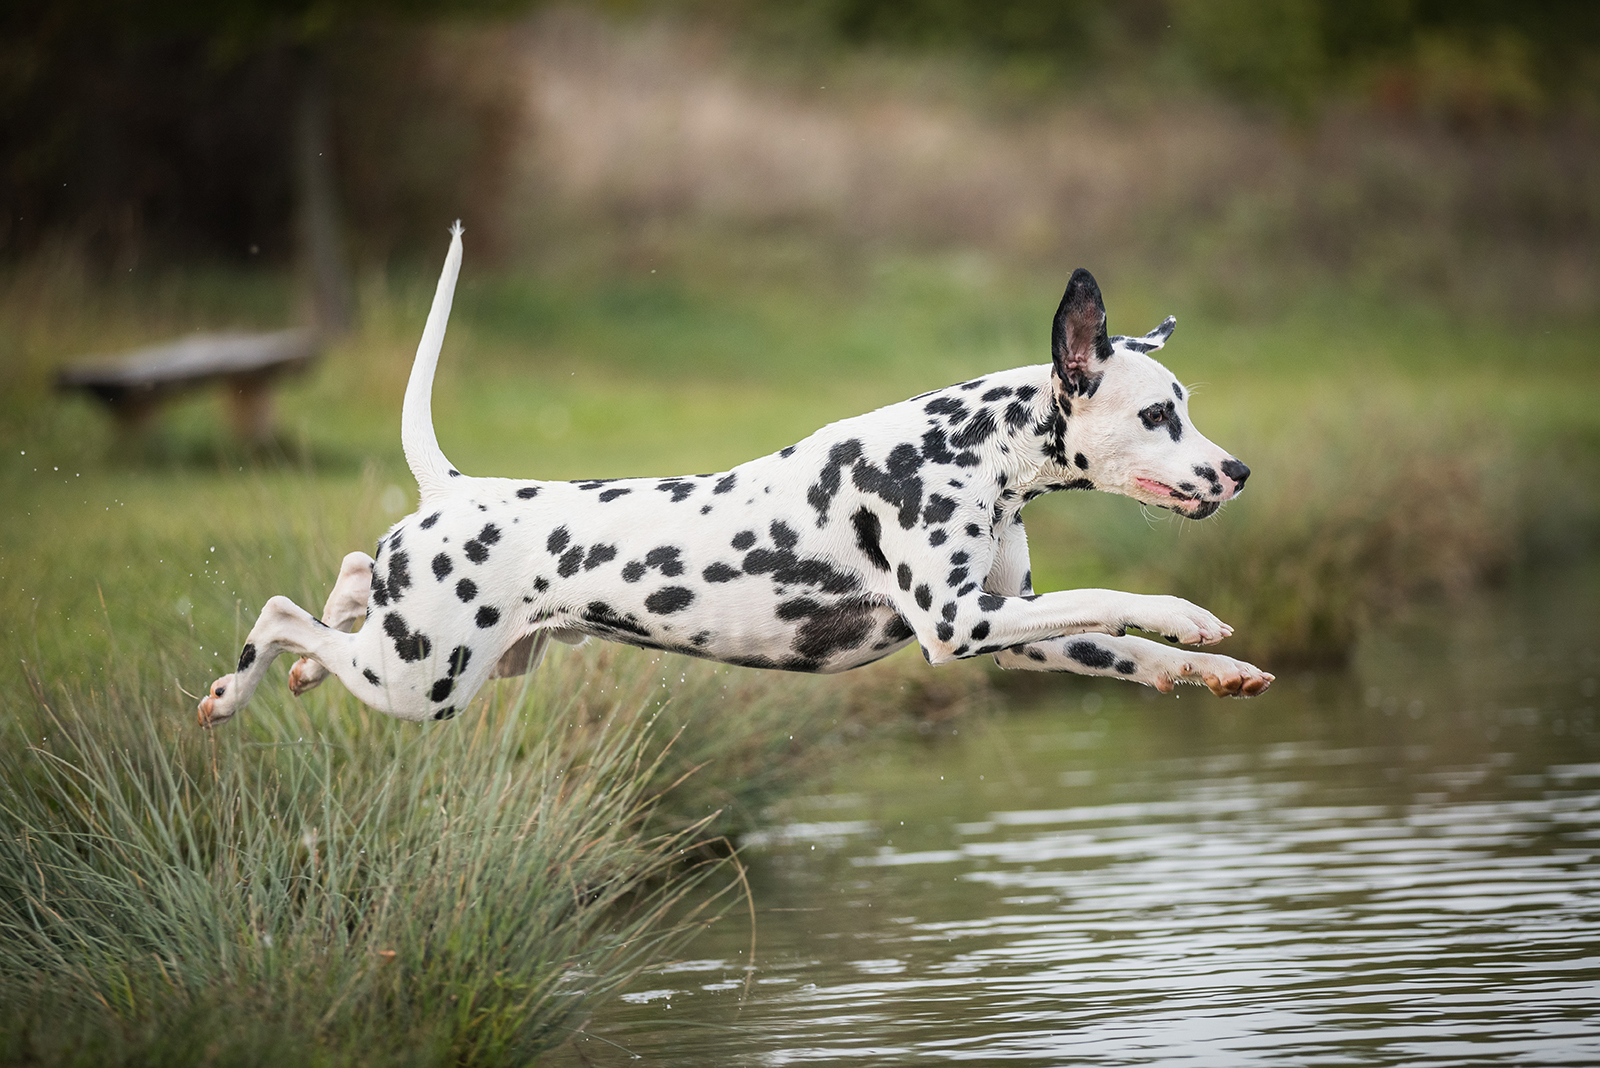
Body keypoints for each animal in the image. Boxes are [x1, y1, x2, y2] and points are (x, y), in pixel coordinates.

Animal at [203, 223, 1273, 725]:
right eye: (1161, 414)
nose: (1238, 470)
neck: (970, 448)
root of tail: (454, 488)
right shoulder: (959, 624)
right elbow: (1122, 596)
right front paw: (1193, 616)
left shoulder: (1008, 631)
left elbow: (1121, 644)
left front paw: (1213, 669)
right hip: (420, 683)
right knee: (279, 611)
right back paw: (238, 686)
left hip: (450, 658)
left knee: (345, 583)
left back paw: (304, 660)